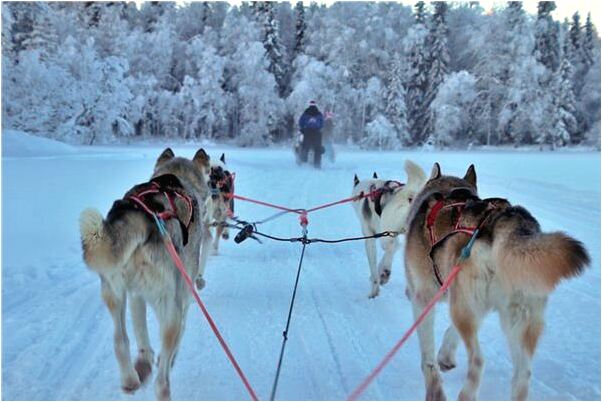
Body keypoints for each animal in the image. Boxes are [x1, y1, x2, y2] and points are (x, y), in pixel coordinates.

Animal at [79, 149, 211, 400]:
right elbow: (178, 337)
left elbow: (140, 334)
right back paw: (162, 385)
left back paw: (131, 379)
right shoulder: (183, 298)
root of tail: (143, 216)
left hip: (113, 292)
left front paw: (144, 362)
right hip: (169, 307)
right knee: (162, 380)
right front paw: (166, 359)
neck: (175, 179)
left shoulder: (136, 296)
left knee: (120, 341)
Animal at [352, 161, 426, 298]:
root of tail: (408, 194)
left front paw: (375, 287)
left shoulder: (371, 239)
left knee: (390, 247)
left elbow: (375, 266)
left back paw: (385, 272)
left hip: (385, 236)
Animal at [404, 162, 584, 400]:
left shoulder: (424, 300)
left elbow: (428, 357)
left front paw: (435, 388)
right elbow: (450, 333)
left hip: (465, 309)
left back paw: (467, 395)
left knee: (478, 361)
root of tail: (502, 222)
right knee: (523, 375)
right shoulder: (467, 302)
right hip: (516, 319)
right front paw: (446, 355)